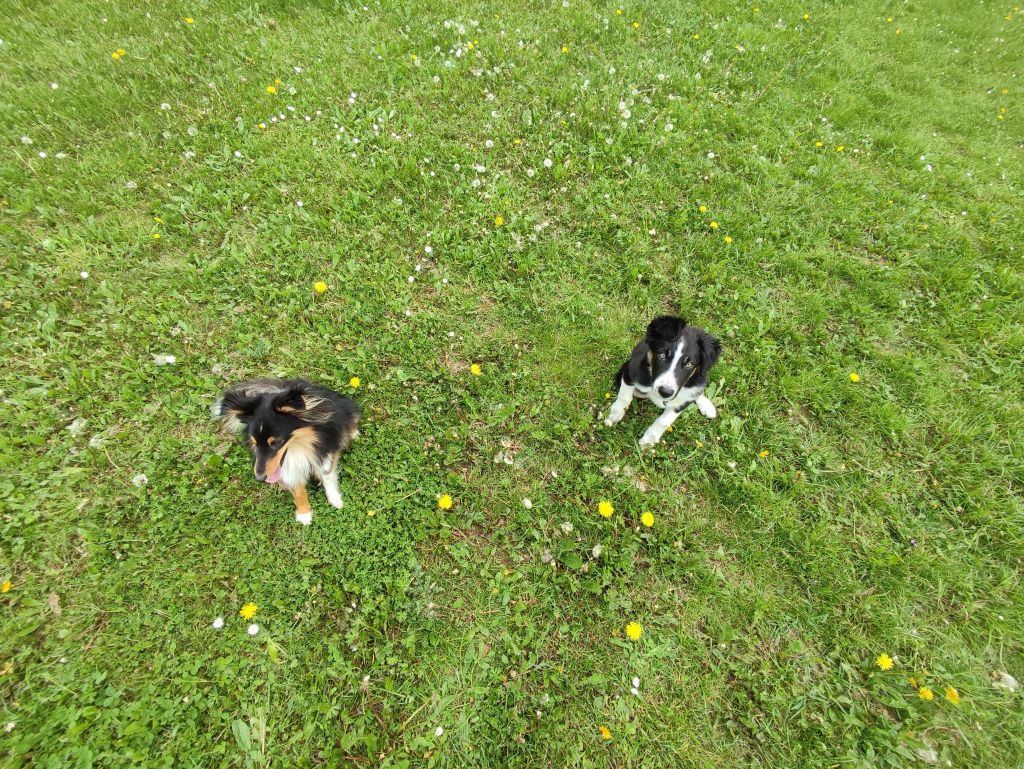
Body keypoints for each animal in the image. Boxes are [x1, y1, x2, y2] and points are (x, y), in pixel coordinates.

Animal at [602, 319, 724, 448]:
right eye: (662, 355)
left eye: (689, 364)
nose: (665, 392)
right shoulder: (630, 372)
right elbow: (624, 397)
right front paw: (614, 414)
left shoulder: (682, 402)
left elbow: (664, 420)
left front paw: (649, 438)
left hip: (700, 378)